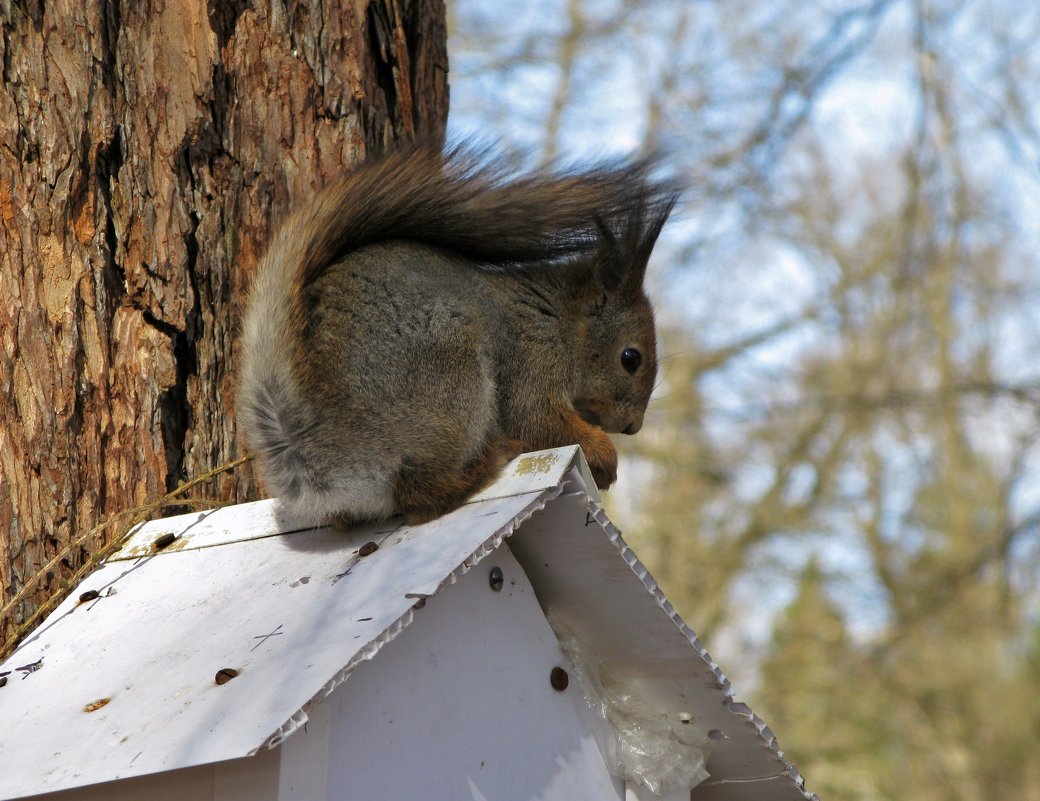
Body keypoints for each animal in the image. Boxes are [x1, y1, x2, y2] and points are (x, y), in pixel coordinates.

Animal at [235, 143, 673, 524]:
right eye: (630, 358)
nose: (633, 426)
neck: (559, 320)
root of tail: (306, 441)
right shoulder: (531, 360)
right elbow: (537, 419)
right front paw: (604, 456)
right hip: (452, 383)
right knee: (418, 497)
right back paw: (488, 463)